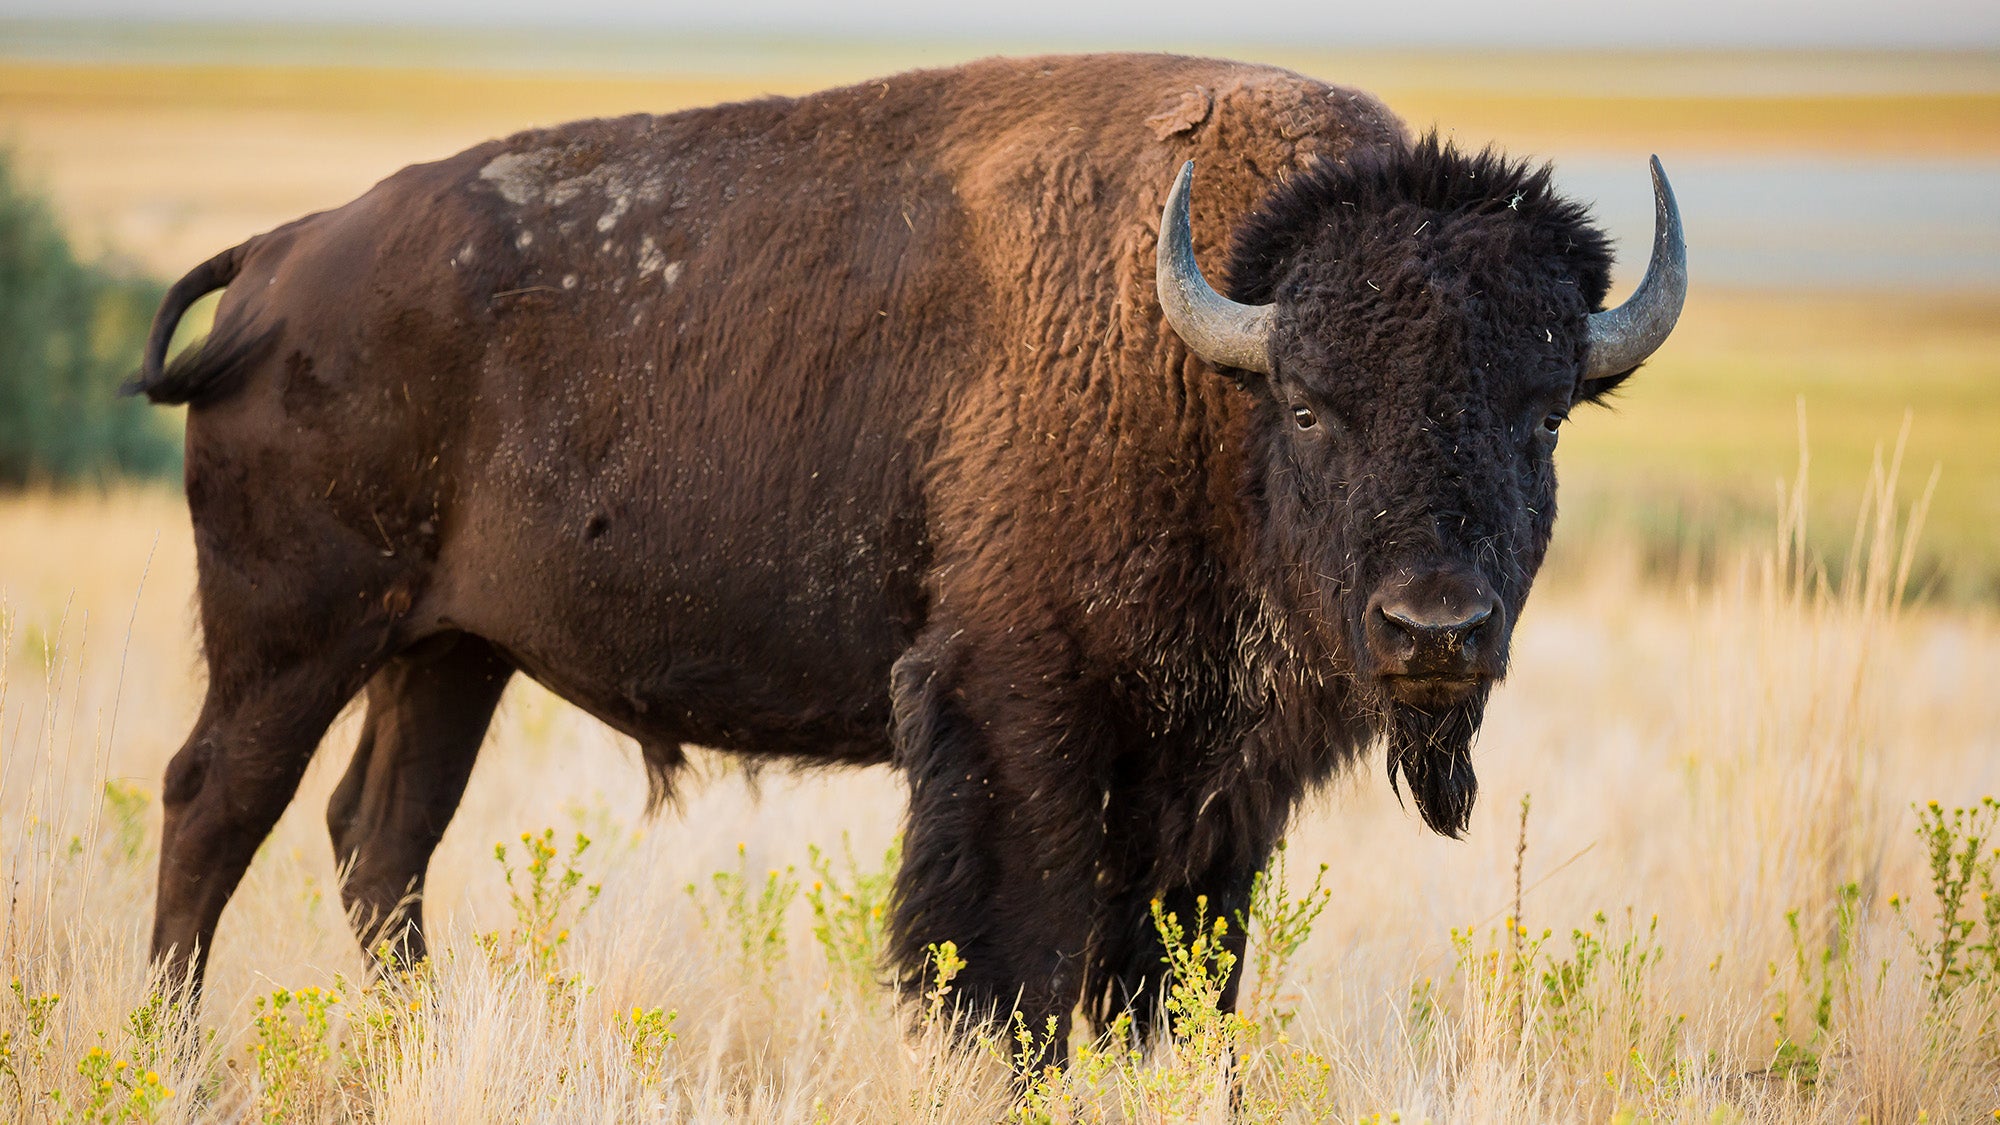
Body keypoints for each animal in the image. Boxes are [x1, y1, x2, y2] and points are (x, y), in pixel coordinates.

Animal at [132, 52, 1683, 1048]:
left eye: (1543, 413)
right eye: (1309, 405)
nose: (1435, 629)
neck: (1203, 363)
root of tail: (284, 257)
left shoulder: (1217, 776)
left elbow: (1175, 972)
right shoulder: (1020, 710)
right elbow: (1020, 957)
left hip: (450, 653)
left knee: (379, 839)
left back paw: (418, 1042)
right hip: (296, 633)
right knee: (217, 804)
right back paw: (171, 1048)